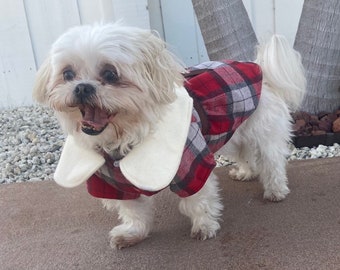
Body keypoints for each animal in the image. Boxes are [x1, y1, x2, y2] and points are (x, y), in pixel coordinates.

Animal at [33, 23, 306, 249]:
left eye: (110, 74)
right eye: (68, 74)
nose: (82, 87)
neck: (128, 136)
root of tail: (258, 67)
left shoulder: (191, 166)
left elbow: (198, 200)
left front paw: (204, 226)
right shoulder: (113, 184)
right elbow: (133, 211)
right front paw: (133, 233)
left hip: (264, 133)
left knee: (272, 162)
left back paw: (275, 190)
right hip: (235, 131)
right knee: (245, 154)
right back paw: (246, 172)